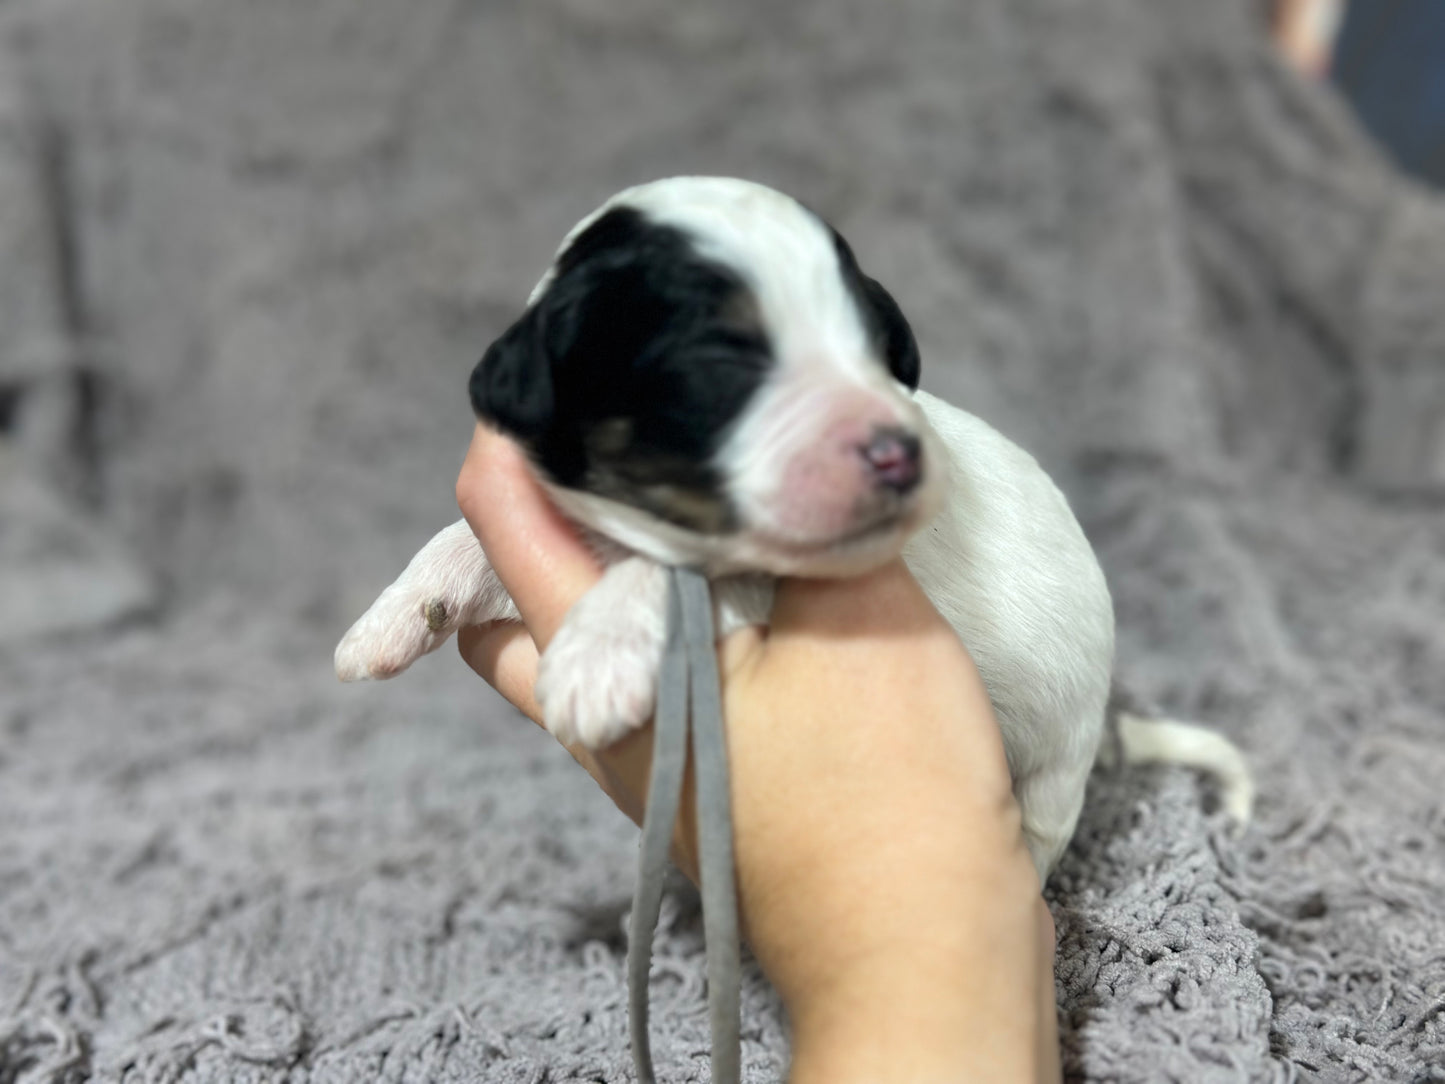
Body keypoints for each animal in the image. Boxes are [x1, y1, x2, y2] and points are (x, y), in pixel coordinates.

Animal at [332, 176, 1248, 884]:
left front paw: (596, 657)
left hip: (1053, 769)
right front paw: (391, 618)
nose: (899, 454)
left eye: (878, 349)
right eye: (724, 362)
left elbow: (678, 575)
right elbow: (458, 538)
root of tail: (1107, 729)